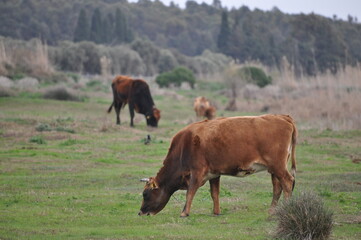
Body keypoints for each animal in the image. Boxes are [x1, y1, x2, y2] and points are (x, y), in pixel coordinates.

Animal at [138, 114, 296, 218]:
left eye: (145, 194)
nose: (140, 212)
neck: (184, 145)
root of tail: (283, 117)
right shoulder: (214, 173)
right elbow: (214, 193)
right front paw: (216, 212)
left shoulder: (197, 172)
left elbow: (190, 192)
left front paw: (184, 212)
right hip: (274, 169)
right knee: (277, 187)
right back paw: (272, 211)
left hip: (278, 167)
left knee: (287, 182)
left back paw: (286, 208)